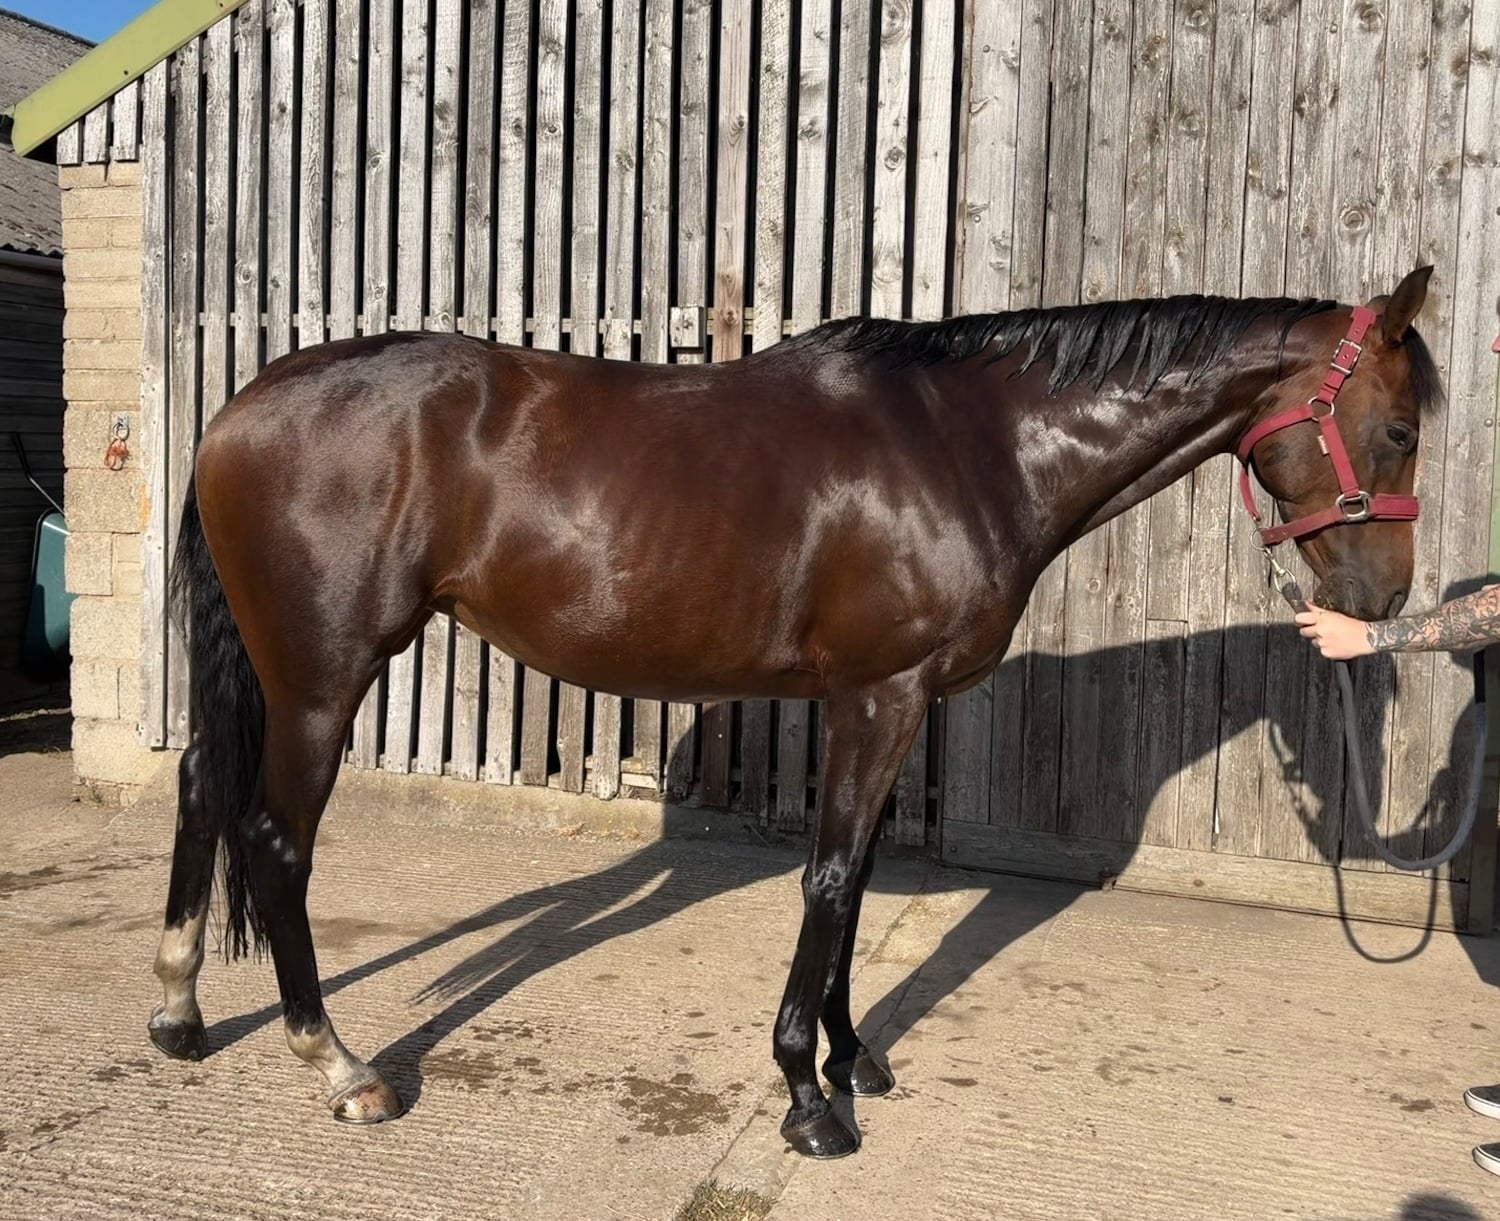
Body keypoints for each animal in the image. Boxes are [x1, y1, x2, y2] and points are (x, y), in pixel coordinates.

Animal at [151, 266, 1439, 1159]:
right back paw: (340, 1068)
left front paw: (852, 1057)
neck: (970, 446)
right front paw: (807, 1098)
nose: (1381, 603)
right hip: (321, 680)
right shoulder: (880, 696)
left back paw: (177, 1013)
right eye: (1400, 428)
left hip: (267, 678)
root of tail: (242, 406)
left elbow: (857, 881)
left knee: (201, 788)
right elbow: (827, 883)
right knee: (274, 842)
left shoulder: (883, 705)